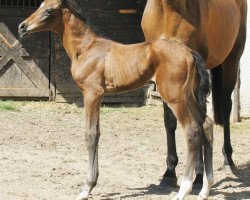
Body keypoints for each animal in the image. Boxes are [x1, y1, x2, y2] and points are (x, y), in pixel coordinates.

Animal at [18, 0, 212, 200]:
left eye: (49, 10)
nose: (22, 27)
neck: (86, 49)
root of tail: (189, 52)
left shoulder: (92, 93)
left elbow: (90, 135)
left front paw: (86, 187)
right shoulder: (98, 95)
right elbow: (96, 133)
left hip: (175, 97)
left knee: (192, 130)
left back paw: (184, 190)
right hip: (189, 96)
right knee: (206, 124)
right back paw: (205, 189)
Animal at [142, 0, 247, 185]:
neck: (169, 10)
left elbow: (199, 120)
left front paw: (198, 174)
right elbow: (170, 121)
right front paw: (170, 171)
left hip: (231, 61)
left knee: (226, 107)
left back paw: (228, 159)